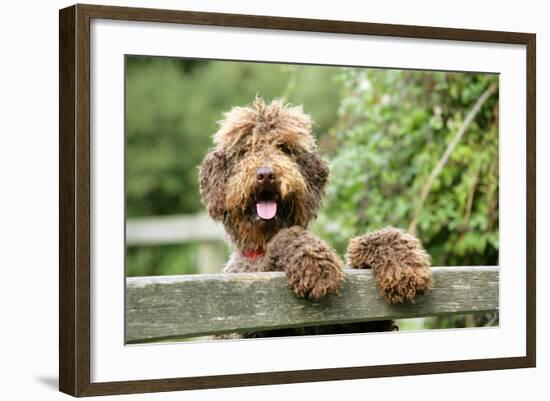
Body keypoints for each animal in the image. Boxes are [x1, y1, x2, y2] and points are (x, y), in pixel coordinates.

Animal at [201, 98, 434, 336]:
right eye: (244, 151)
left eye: (285, 148)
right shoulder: (254, 313)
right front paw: (315, 264)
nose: (266, 175)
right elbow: (288, 237)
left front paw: (402, 262)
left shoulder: (362, 322)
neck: (261, 244)